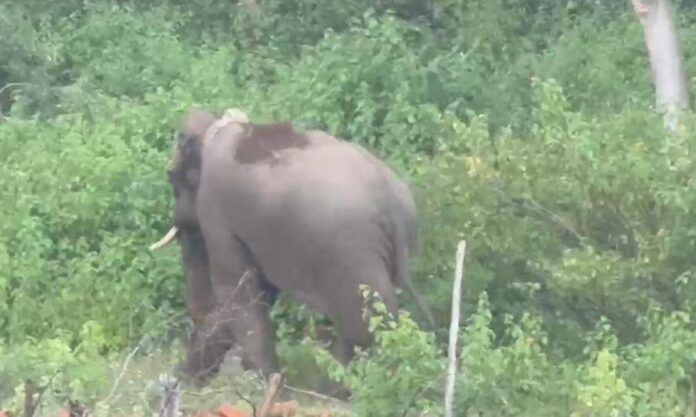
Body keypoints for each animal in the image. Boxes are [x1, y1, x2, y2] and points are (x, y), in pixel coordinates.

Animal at [149, 107, 436, 387]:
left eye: (171, 177)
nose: (180, 376)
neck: (217, 126)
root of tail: (391, 202)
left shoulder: (215, 209)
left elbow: (235, 291)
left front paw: (263, 382)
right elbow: (258, 292)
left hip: (352, 255)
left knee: (364, 321)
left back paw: (336, 388)